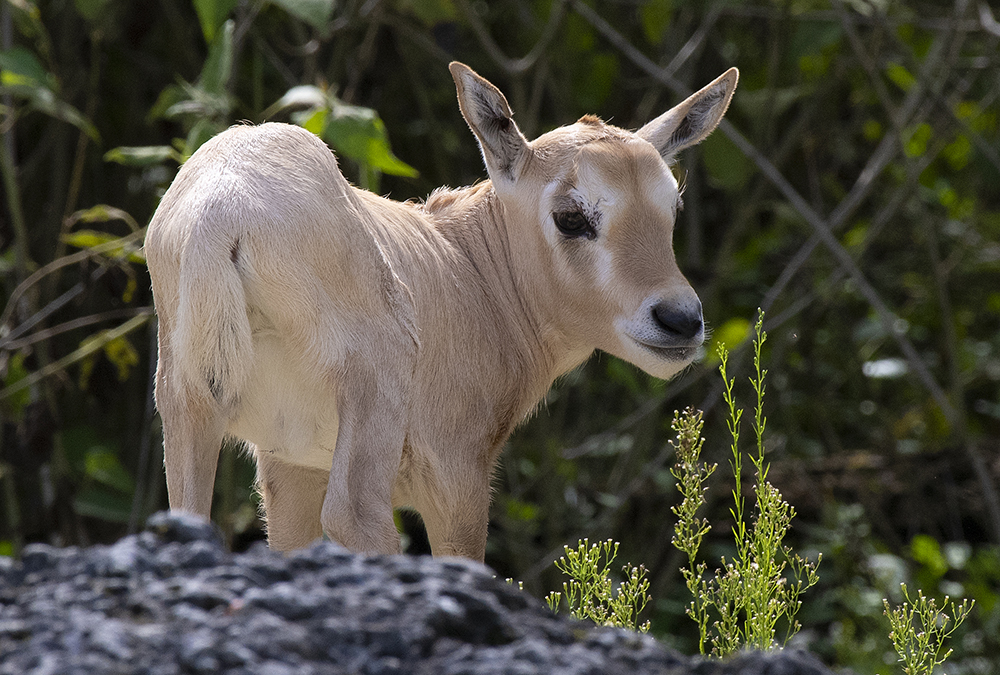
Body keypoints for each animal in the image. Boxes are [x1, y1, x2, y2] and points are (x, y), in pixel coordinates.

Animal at [145, 62, 740, 560]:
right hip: (375, 383)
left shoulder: (290, 464)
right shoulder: (459, 474)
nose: (680, 321)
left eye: (672, 205)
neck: (465, 265)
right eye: (571, 216)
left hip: (187, 405)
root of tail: (223, 208)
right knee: (355, 513)